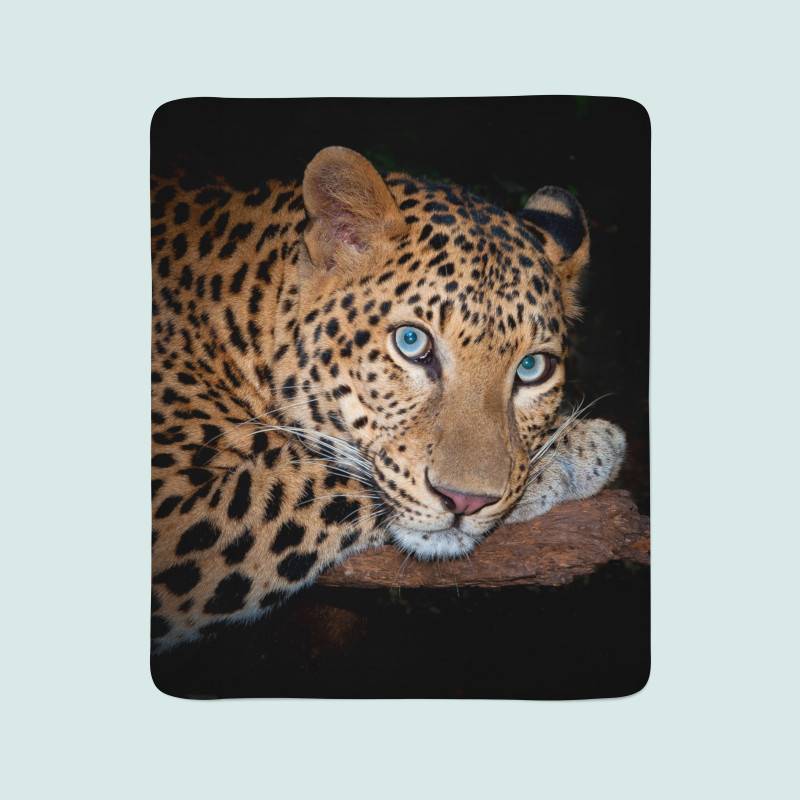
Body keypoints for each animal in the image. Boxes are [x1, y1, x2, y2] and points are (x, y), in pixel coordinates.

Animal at [150, 145, 626, 651]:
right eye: (412, 342)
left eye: (532, 368)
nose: (465, 502)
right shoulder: (176, 503)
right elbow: (314, 474)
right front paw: (576, 451)